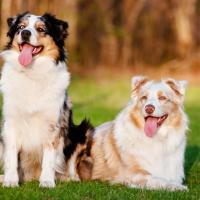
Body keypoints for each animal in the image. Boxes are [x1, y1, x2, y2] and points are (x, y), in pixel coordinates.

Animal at [0, 12, 93, 188]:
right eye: (21, 27)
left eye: (41, 29)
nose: (25, 33)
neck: (32, 73)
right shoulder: (11, 123)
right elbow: (11, 156)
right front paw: (10, 181)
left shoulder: (53, 125)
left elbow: (49, 157)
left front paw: (47, 181)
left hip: (84, 130)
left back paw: (68, 179)